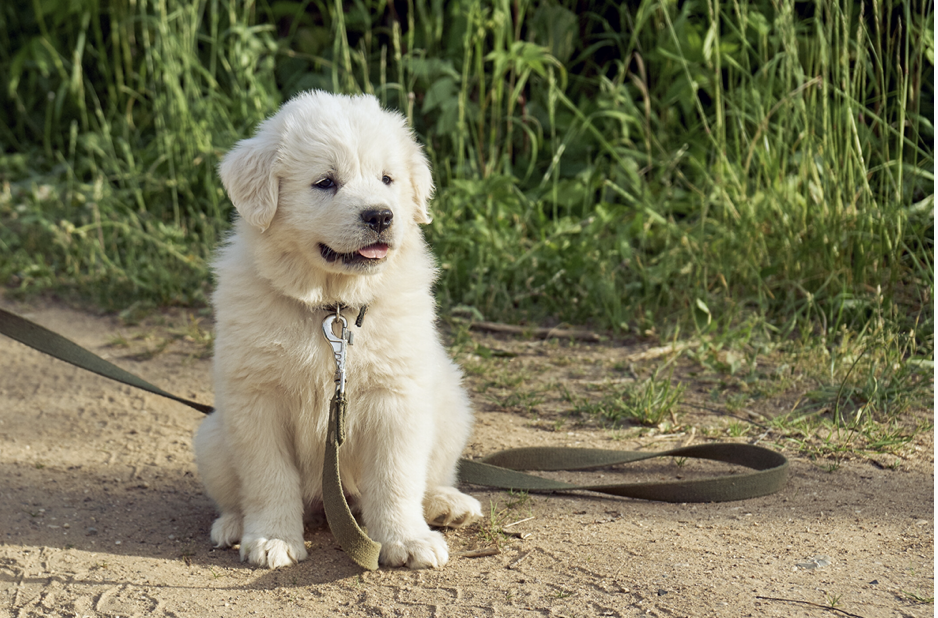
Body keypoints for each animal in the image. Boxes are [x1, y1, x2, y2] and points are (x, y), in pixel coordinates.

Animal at [193, 90, 478, 568]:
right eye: (326, 182)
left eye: (387, 179)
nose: (381, 216)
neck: (334, 306)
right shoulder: (257, 400)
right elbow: (269, 476)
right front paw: (272, 538)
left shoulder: (396, 399)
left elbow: (396, 476)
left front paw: (406, 540)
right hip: (212, 437)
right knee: (236, 493)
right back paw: (233, 524)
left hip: (450, 408)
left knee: (428, 476)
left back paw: (446, 505)